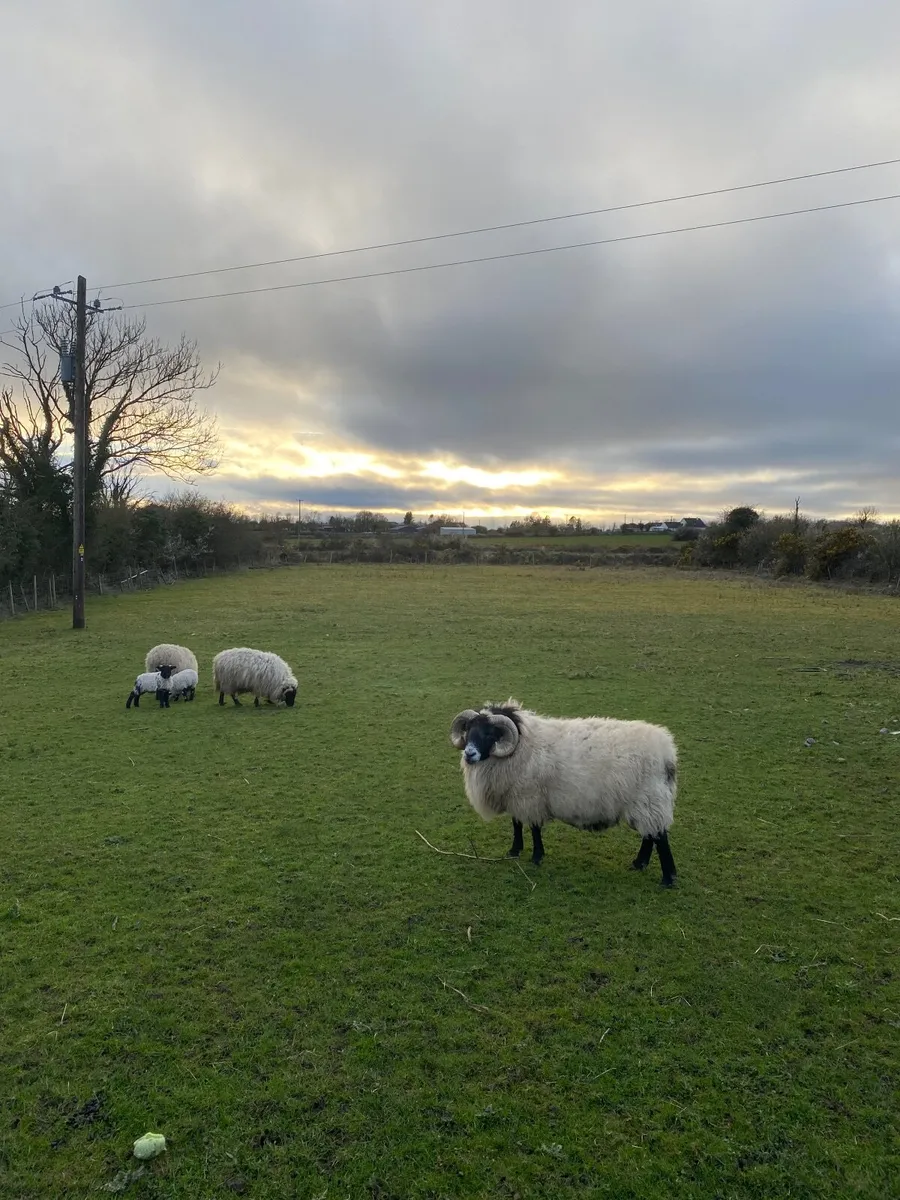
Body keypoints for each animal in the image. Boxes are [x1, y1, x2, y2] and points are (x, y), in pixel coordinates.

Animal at [449, 698, 678, 886]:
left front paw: (537, 857)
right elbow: (516, 824)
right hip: (645, 803)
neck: (522, 745)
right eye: (468, 730)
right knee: (649, 835)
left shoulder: (530, 798)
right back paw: (639, 864)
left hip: (649, 799)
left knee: (659, 837)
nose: (469, 754)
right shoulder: (516, 796)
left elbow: (534, 828)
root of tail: (667, 753)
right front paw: (514, 850)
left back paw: (668, 878)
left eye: (490, 733)